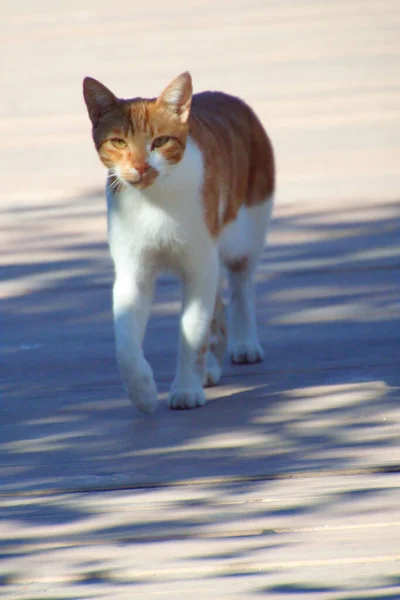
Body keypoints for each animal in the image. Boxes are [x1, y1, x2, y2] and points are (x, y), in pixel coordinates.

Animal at [82, 71, 276, 412]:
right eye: (118, 142)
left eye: (160, 141)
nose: (141, 166)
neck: (155, 203)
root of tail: (226, 97)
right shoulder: (133, 272)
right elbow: (125, 344)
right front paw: (143, 393)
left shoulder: (199, 265)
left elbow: (192, 330)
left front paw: (186, 388)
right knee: (218, 304)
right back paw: (210, 365)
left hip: (245, 233)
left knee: (241, 286)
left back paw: (244, 343)